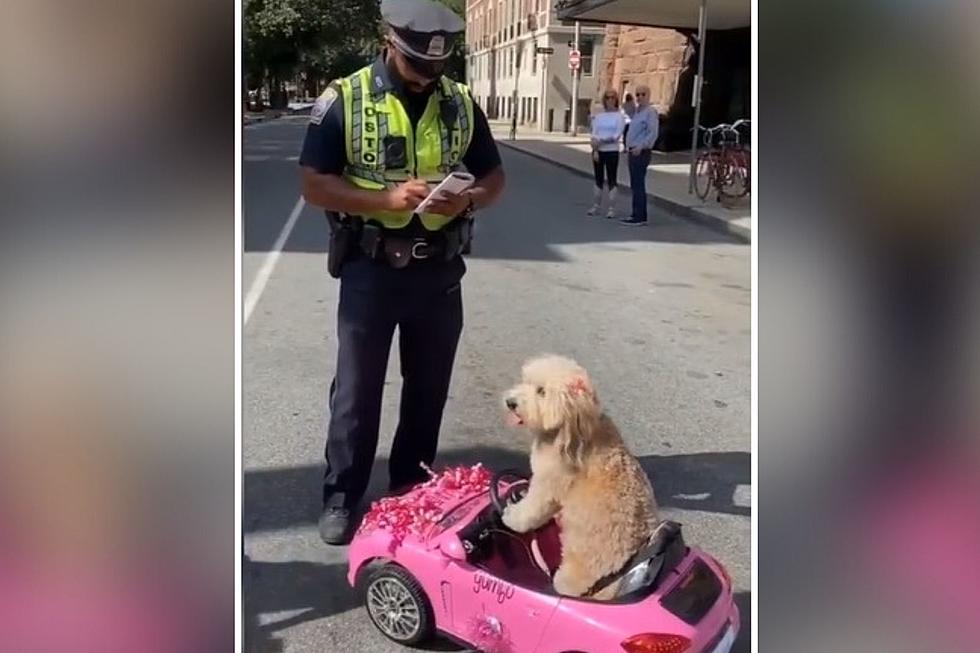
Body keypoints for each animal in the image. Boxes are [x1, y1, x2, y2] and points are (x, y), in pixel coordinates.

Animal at [506, 354, 660, 600]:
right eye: (525, 381)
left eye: (541, 391)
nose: (510, 402)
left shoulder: (548, 485)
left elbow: (531, 509)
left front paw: (511, 516)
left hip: (573, 573)